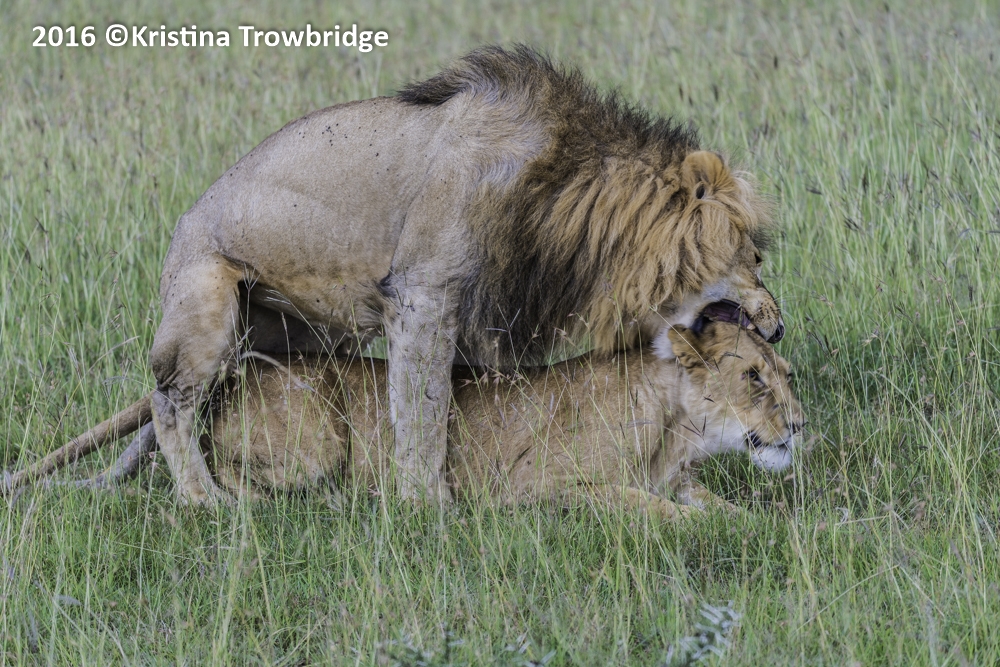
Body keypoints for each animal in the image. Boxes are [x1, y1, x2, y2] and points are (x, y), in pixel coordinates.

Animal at [59, 46, 789, 507]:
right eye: (755, 258)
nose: (779, 329)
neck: (570, 199)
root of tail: (181, 230)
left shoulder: (485, 312)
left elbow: (467, 403)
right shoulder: (422, 291)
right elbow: (421, 406)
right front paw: (427, 505)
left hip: (292, 333)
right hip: (209, 299)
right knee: (170, 403)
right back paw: (205, 500)